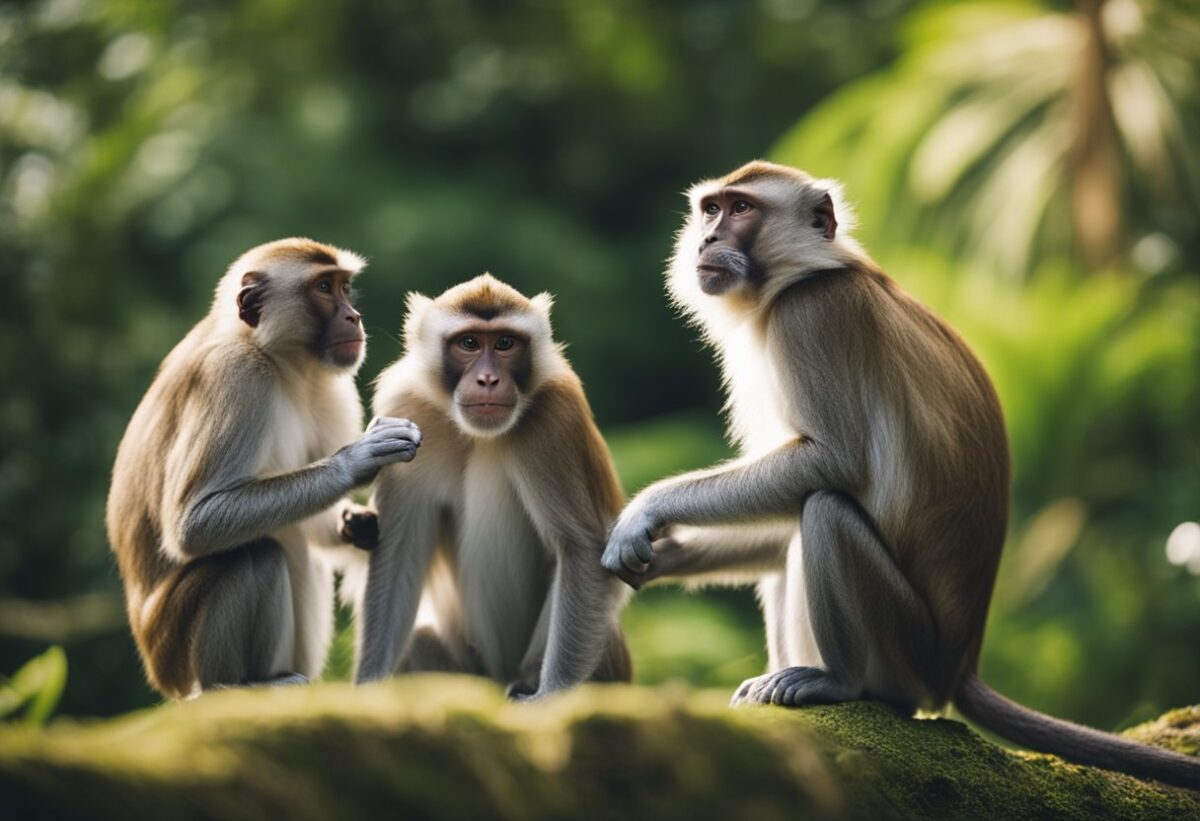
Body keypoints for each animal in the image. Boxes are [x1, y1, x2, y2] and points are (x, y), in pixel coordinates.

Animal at [105, 238, 422, 699]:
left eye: (345, 287)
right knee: (253, 555)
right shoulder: (236, 374)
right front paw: (358, 460)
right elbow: (192, 523)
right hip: (175, 649)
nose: (354, 316)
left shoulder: (328, 386)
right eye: (323, 288)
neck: (275, 357)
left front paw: (356, 525)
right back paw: (234, 687)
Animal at [355, 274, 631, 699]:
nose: (487, 379)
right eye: (469, 343)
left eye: (505, 344)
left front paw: (549, 699)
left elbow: (582, 549)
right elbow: (397, 553)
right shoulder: (407, 406)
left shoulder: (555, 416)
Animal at [601, 161, 1200, 789]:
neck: (802, 275)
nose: (708, 239)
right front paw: (666, 555)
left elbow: (831, 463)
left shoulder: (810, 316)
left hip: (904, 650)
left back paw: (834, 681)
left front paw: (644, 512)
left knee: (825, 510)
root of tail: (956, 666)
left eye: (741, 210)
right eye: (710, 210)